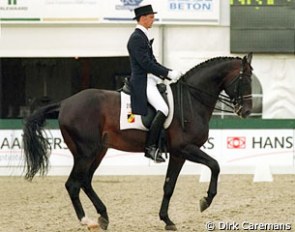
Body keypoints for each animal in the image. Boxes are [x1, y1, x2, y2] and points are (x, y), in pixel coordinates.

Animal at [22, 53, 254, 231]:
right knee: (73, 184)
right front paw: (205, 201)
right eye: (245, 80)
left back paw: (103, 216)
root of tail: (65, 103)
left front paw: (167, 220)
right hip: (86, 153)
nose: (246, 111)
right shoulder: (185, 148)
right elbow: (215, 165)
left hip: (98, 151)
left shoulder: (178, 154)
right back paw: (87, 221)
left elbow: (169, 186)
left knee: (85, 181)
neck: (192, 101)